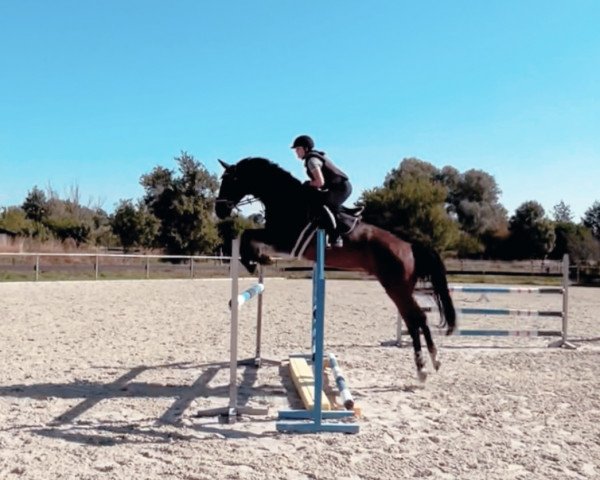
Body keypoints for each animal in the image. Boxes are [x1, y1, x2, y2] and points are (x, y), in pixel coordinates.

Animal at [216, 157, 454, 378]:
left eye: (229, 181)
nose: (219, 210)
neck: (286, 198)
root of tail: (409, 246)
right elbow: (248, 236)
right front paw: (260, 259)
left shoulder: (284, 239)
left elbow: (247, 235)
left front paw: (255, 261)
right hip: (399, 289)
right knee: (415, 320)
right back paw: (431, 363)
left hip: (397, 289)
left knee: (417, 319)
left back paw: (425, 366)